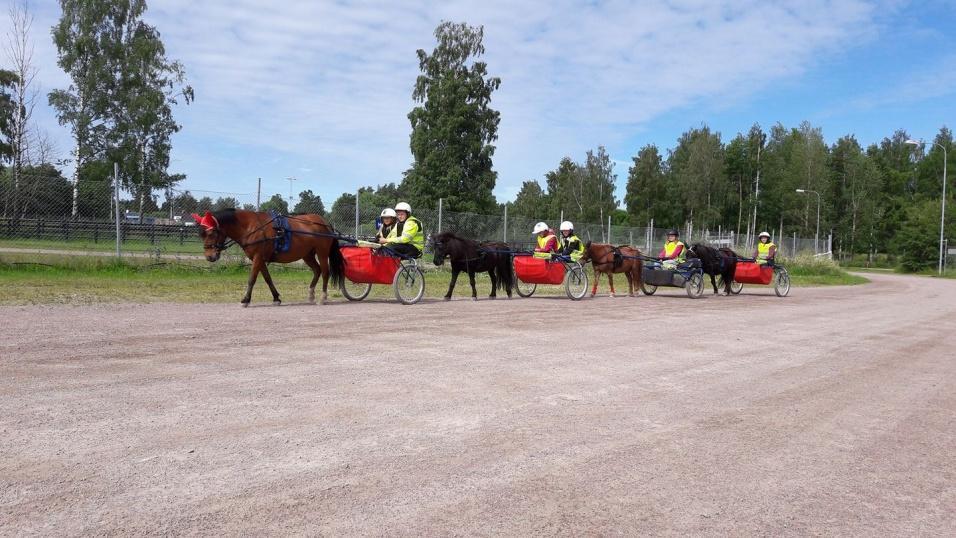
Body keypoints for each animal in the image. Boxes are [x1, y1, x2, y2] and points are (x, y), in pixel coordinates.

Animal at [192, 207, 342, 304]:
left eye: (211, 233)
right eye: (202, 235)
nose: (209, 256)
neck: (250, 226)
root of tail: (325, 223)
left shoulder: (258, 257)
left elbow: (252, 279)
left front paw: (246, 299)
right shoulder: (260, 259)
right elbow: (267, 278)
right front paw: (276, 297)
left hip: (322, 252)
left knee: (325, 272)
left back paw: (323, 297)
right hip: (307, 254)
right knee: (317, 270)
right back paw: (311, 295)